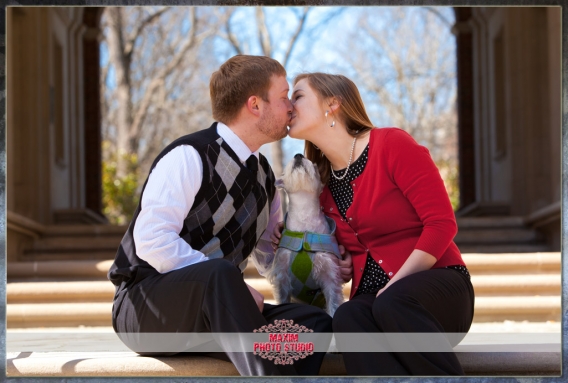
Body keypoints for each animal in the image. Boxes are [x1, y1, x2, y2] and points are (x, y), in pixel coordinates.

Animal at [268, 154, 346, 318]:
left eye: (315, 166)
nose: (298, 155)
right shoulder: (282, 276)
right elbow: (283, 300)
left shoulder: (330, 275)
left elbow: (333, 305)